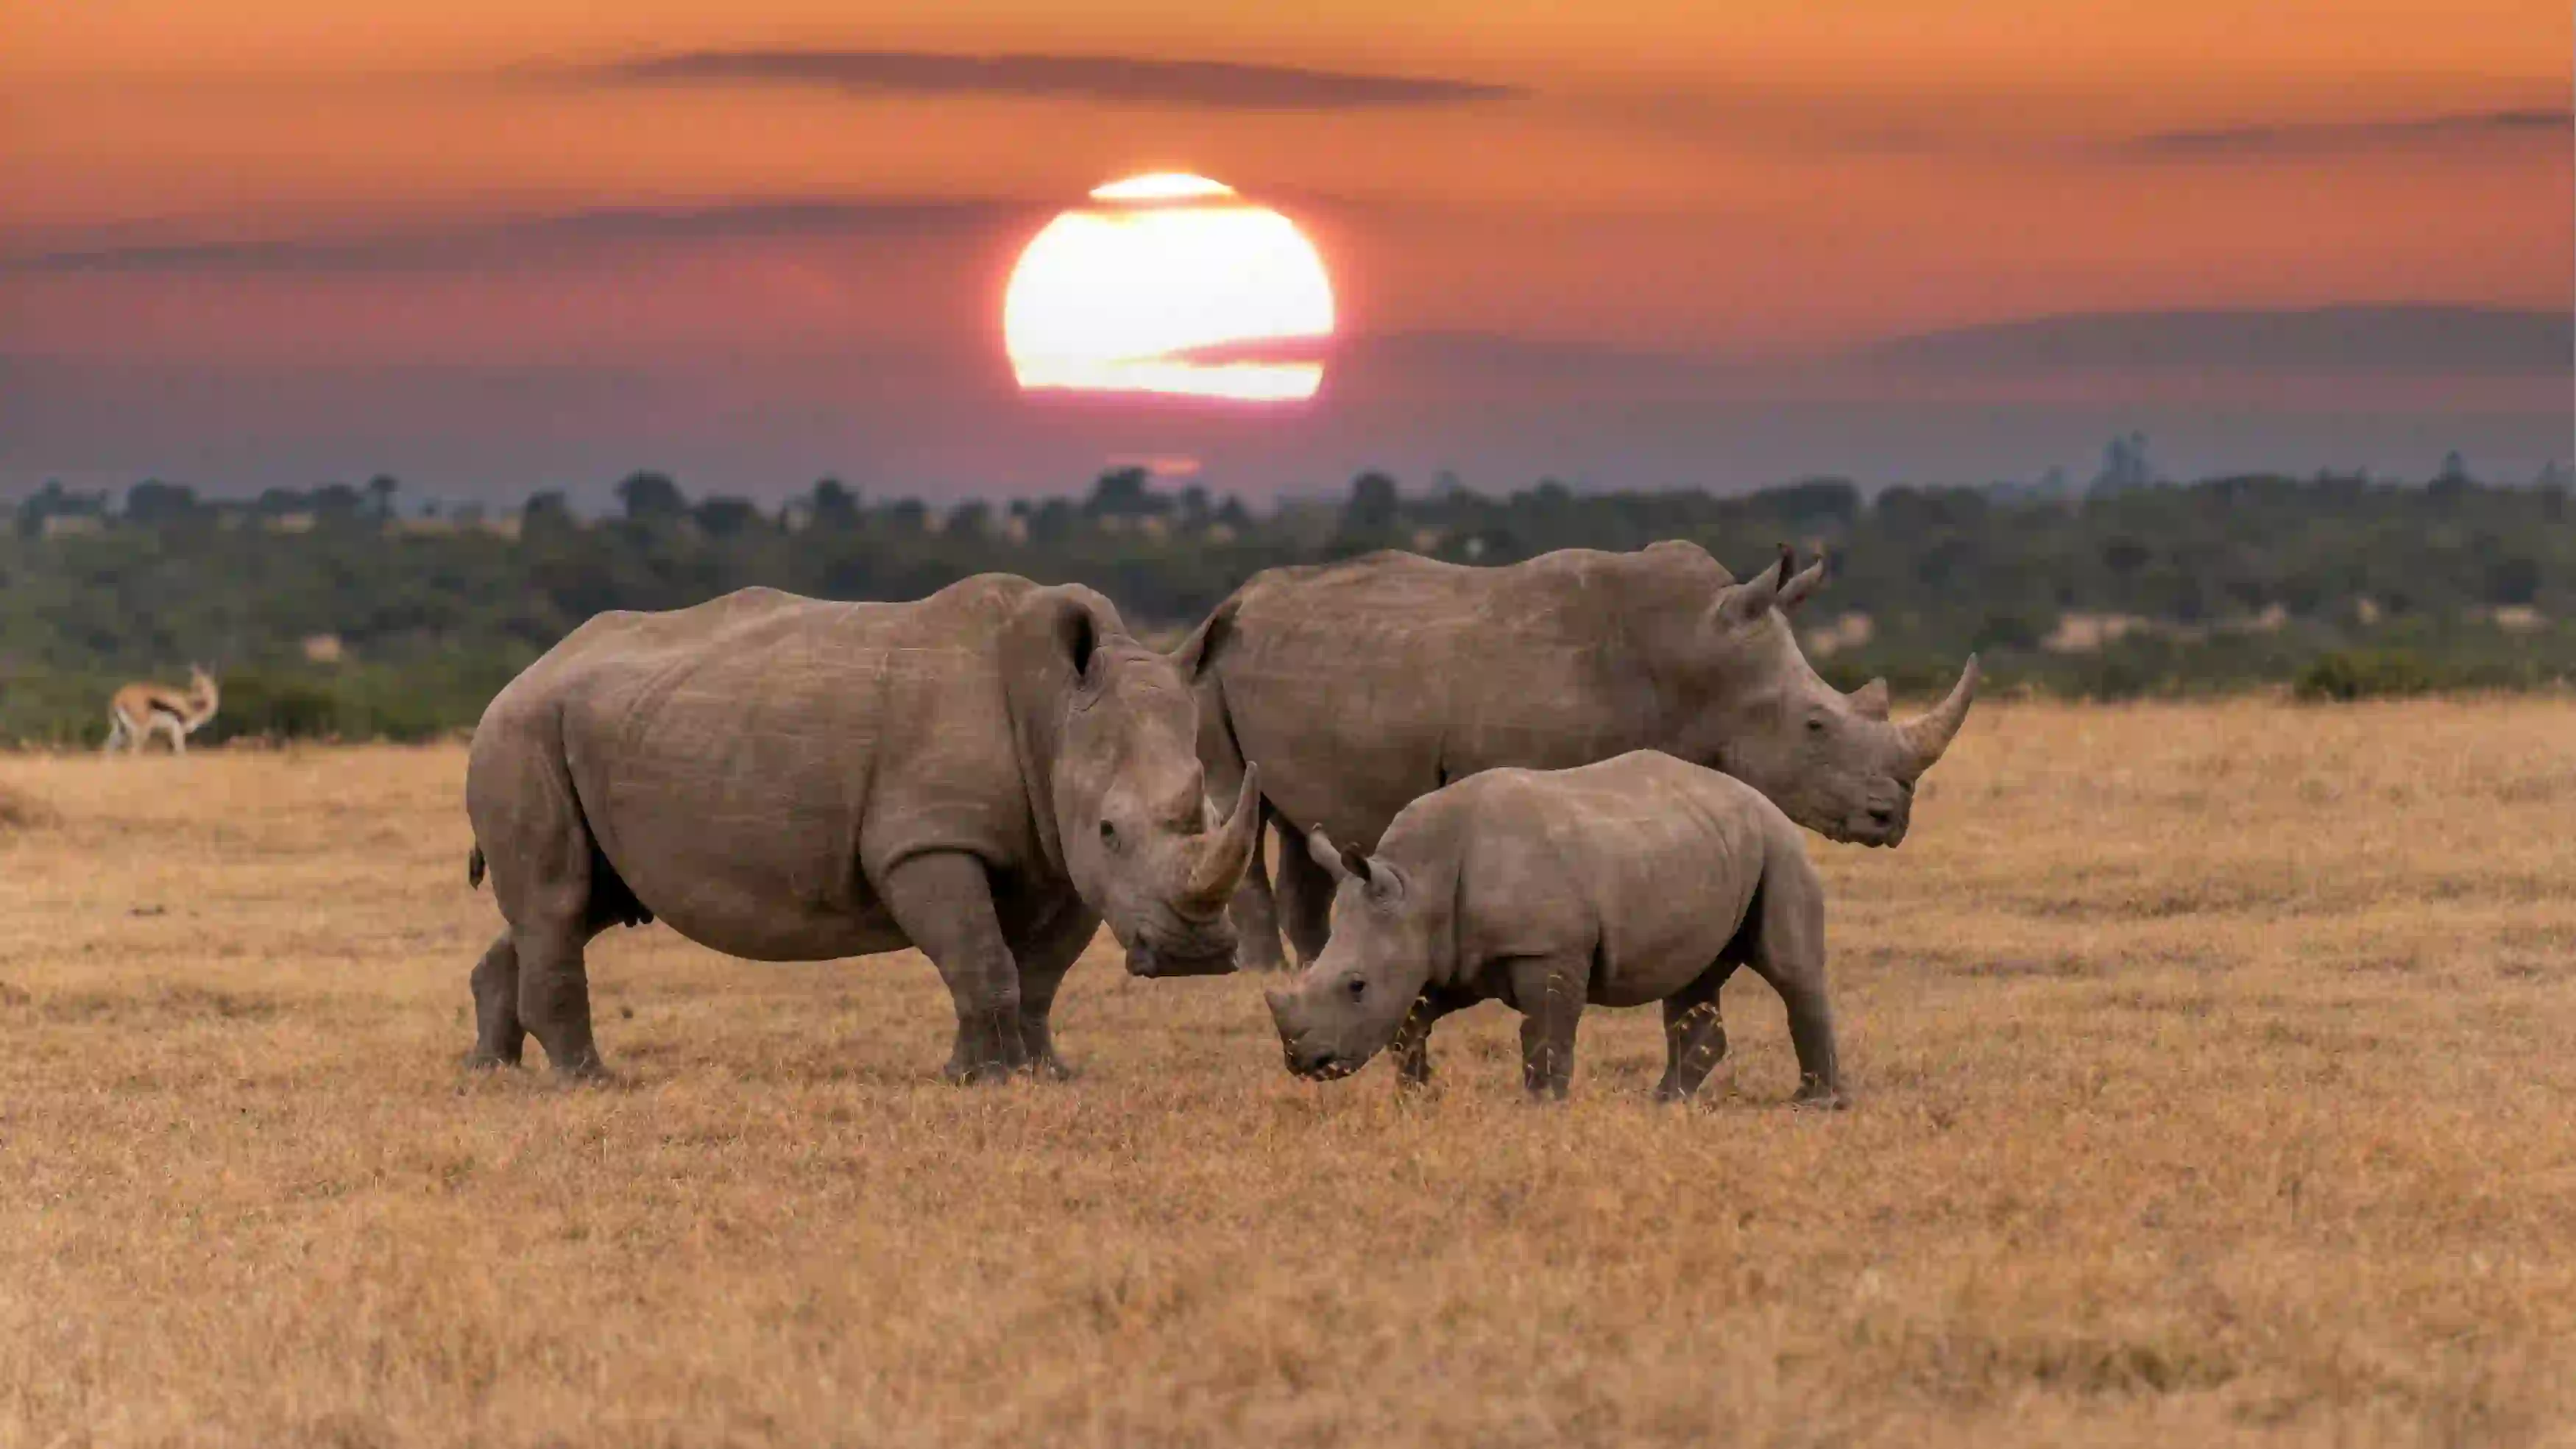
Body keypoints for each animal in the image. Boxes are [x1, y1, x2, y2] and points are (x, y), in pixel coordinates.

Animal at [103, 669, 222, 762]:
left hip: (119, 728)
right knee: (134, 751)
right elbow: (181, 752)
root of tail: (120, 698)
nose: (195, 695)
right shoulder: (178, 730)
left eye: (200, 683)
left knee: (110, 746)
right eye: (194, 682)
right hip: (140, 730)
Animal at [1262, 757, 1834, 1106]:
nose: (1304, 1063)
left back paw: (1815, 1104)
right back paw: (1665, 1103)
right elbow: (1411, 1024)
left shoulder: (1547, 949)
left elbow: (1546, 1030)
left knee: (1789, 970)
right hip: (1703, 846)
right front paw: (1418, 1097)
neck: (1416, 883)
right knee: (1692, 980)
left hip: (1777, 842)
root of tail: (1756, 794)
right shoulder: (1448, 954)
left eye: (1356, 986)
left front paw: (1542, 1107)